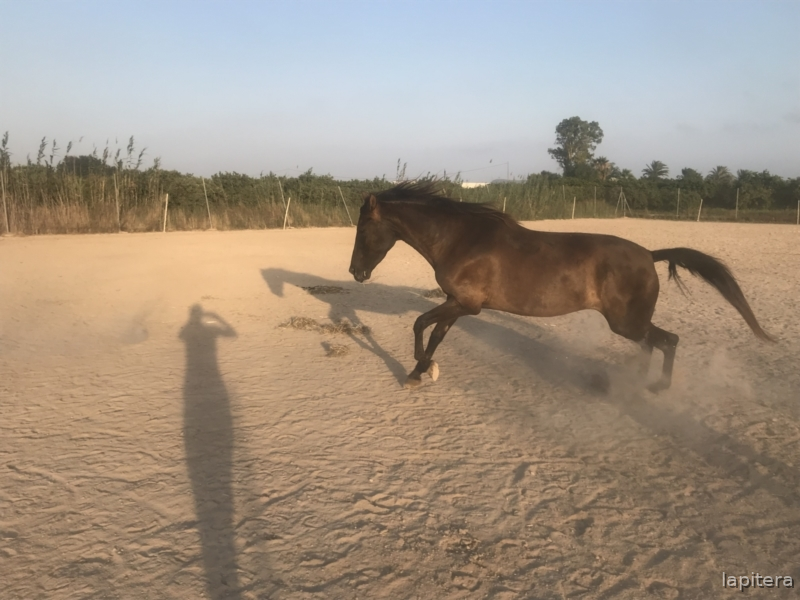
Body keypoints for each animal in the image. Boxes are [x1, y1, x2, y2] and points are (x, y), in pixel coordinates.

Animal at [348, 182, 774, 391]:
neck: (462, 239)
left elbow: (420, 323)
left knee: (668, 341)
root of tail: (649, 254)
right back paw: (637, 381)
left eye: (363, 230)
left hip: (627, 323)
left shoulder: (466, 304)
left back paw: (657, 388)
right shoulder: (458, 302)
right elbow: (435, 334)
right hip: (630, 324)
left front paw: (419, 371)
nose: (356, 273)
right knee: (653, 344)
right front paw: (422, 371)